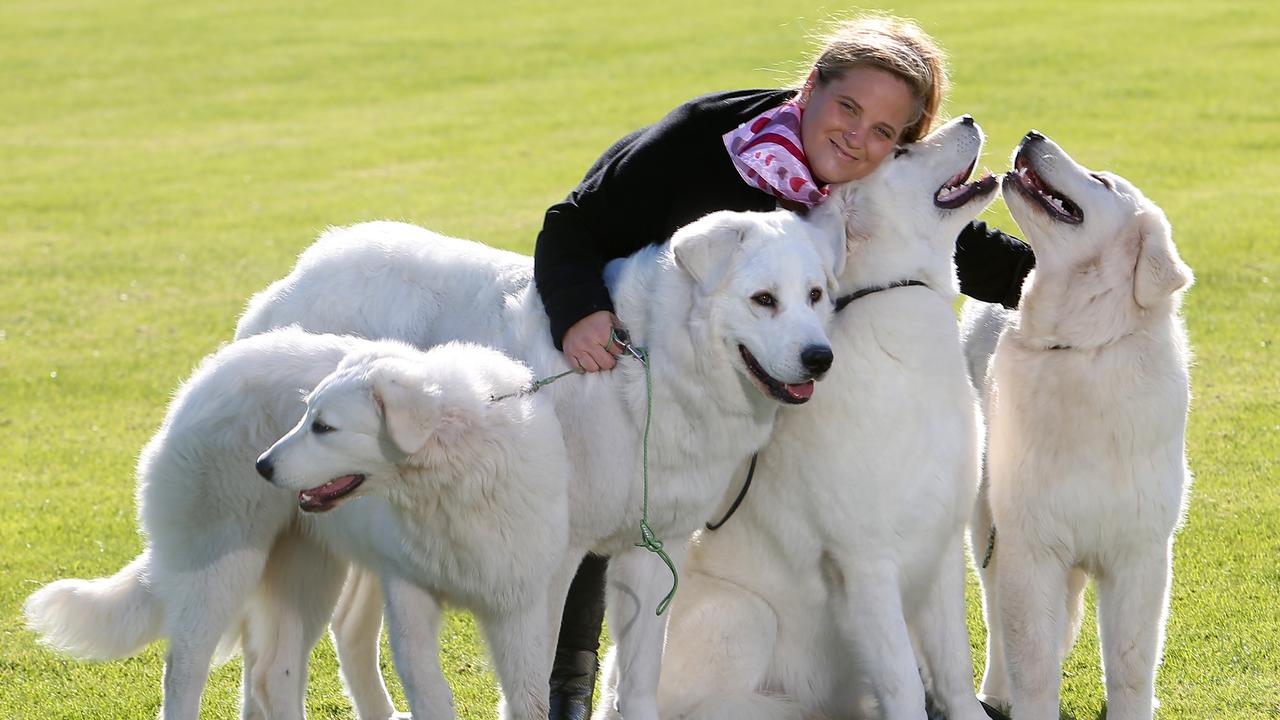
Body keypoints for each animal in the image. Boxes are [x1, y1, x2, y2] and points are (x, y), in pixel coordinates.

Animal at [23, 330, 576, 717]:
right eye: (304, 416)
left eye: (324, 427)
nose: (262, 466)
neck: (450, 486)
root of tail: (208, 374)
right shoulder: (408, 596)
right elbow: (433, 697)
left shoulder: (518, 605)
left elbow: (528, 700)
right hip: (221, 569)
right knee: (184, 670)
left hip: (307, 575)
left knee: (273, 673)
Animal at [232, 204, 849, 712]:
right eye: (764, 300)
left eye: (816, 296)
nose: (820, 359)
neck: (651, 365)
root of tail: (286, 284)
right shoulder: (553, 561)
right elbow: (532, 678)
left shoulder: (655, 551)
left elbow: (639, 684)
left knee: (347, 633)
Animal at [650, 114, 998, 712]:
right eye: (901, 153)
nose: (970, 119)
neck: (894, 295)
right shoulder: (866, 563)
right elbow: (904, 682)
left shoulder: (942, 552)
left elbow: (954, 671)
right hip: (746, 615)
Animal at [962, 130, 1192, 717]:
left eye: (1102, 182)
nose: (1032, 136)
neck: (1083, 346)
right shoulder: (1031, 549)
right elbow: (1034, 664)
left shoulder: (1138, 555)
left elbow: (1131, 667)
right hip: (987, 530)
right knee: (997, 622)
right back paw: (994, 693)